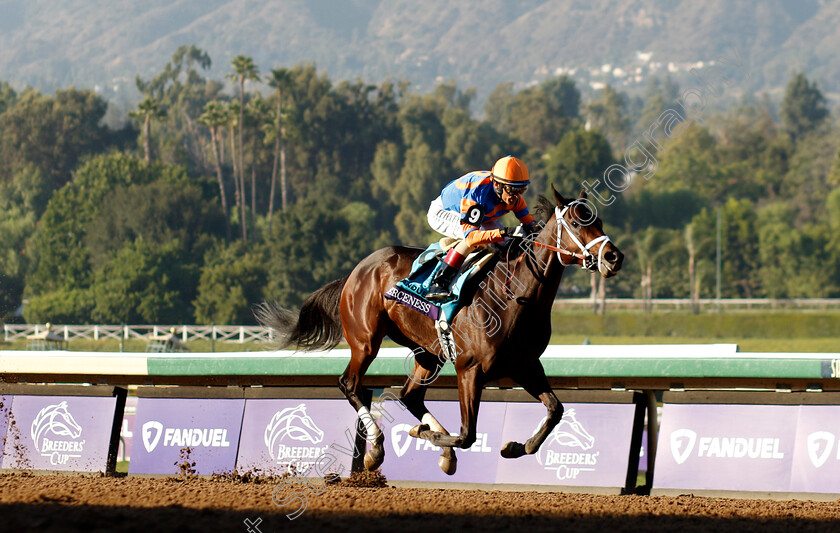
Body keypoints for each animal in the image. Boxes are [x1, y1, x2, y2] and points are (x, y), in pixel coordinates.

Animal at [258, 187, 624, 474]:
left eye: (600, 222)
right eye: (577, 223)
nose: (614, 257)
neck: (516, 296)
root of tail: (357, 269)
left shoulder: (525, 366)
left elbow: (555, 409)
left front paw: (514, 447)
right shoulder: (470, 369)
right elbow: (467, 434)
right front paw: (421, 435)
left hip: (428, 352)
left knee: (410, 394)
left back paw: (437, 450)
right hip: (366, 341)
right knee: (350, 384)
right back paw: (377, 448)